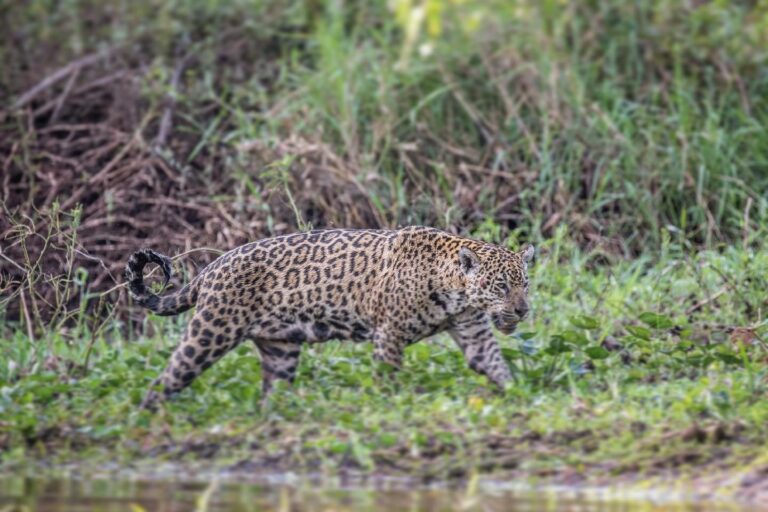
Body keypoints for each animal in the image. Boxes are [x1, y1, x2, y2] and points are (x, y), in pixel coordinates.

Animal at [125, 226, 534, 408]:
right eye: (500, 286)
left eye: (524, 284)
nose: (522, 310)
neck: (455, 290)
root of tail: (211, 267)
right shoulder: (389, 333)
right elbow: (387, 374)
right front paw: (386, 405)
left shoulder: (473, 330)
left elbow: (494, 363)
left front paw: (521, 396)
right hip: (212, 330)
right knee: (169, 375)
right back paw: (149, 416)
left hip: (280, 347)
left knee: (273, 388)